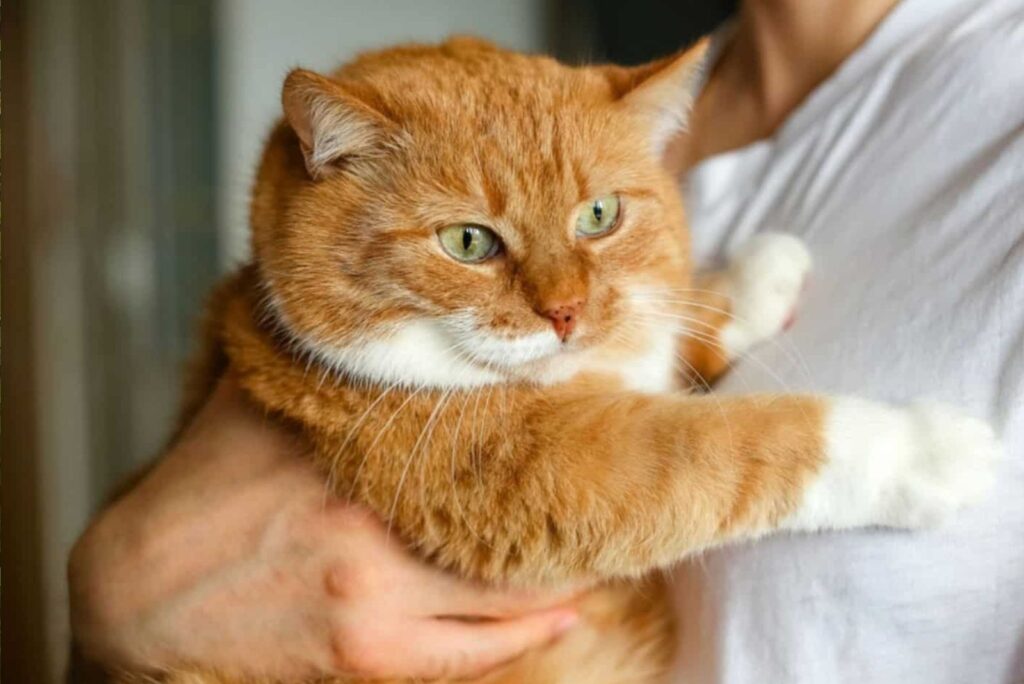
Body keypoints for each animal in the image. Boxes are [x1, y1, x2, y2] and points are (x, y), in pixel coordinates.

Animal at [148, 38, 995, 684]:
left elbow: (668, 327)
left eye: (599, 215)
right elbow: (731, 444)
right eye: (468, 241)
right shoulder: (543, 473)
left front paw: (753, 276)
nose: (566, 312)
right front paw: (928, 449)